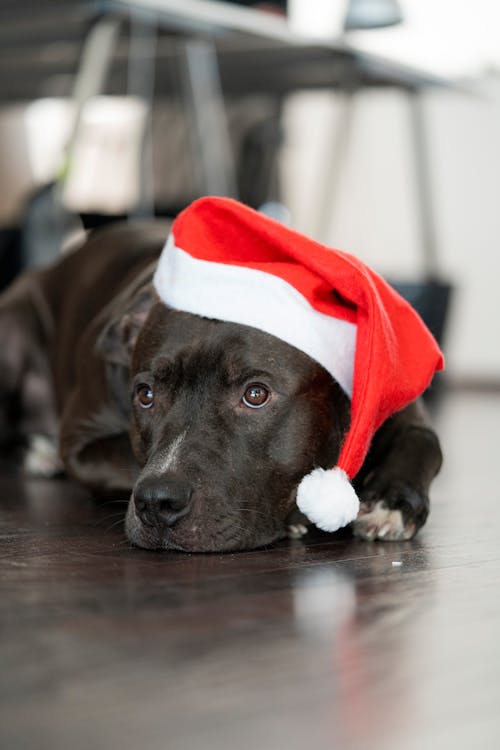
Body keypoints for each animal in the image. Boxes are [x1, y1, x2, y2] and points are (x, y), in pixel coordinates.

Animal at [0, 220, 442, 556]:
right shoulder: (81, 442)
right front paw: (298, 516)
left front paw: (391, 502)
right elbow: (126, 458)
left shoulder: (397, 407)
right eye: (145, 396)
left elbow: (426, 443)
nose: (157, 502)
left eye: (256, 394)